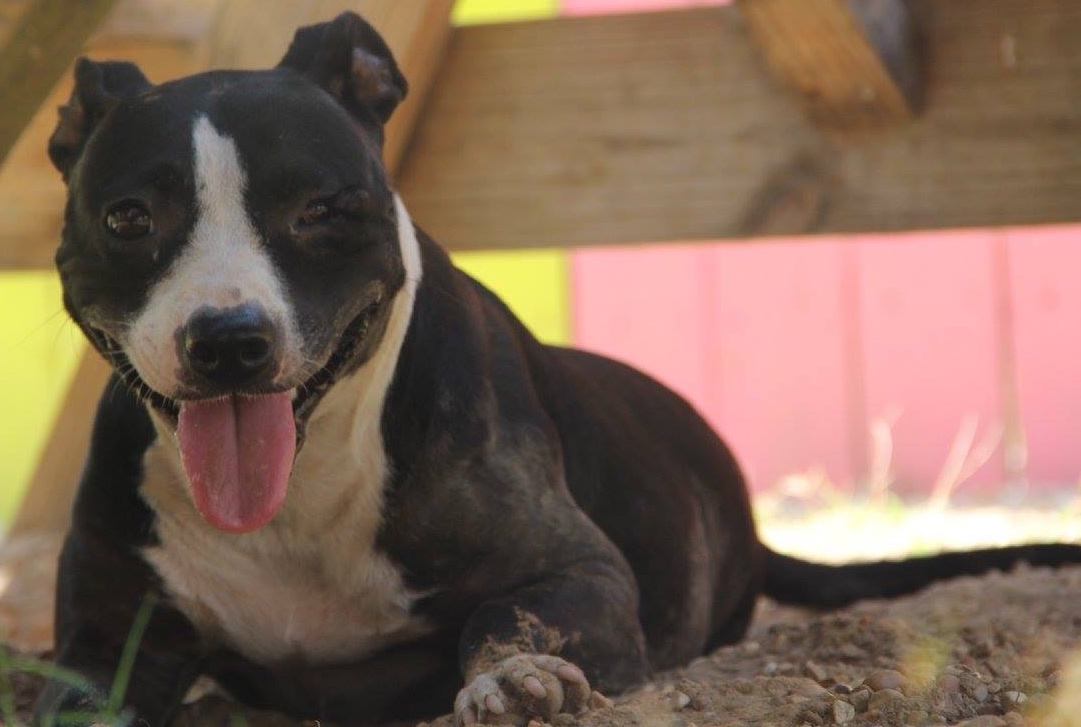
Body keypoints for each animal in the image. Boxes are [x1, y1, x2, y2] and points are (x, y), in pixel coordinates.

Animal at [29, 11, 1081, 725]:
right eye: (128, 217)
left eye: (319, 208)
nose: (228, 338)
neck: (296, 500)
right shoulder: (100, 638)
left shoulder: (580, 571)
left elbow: (500, 620)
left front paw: (513, 677)